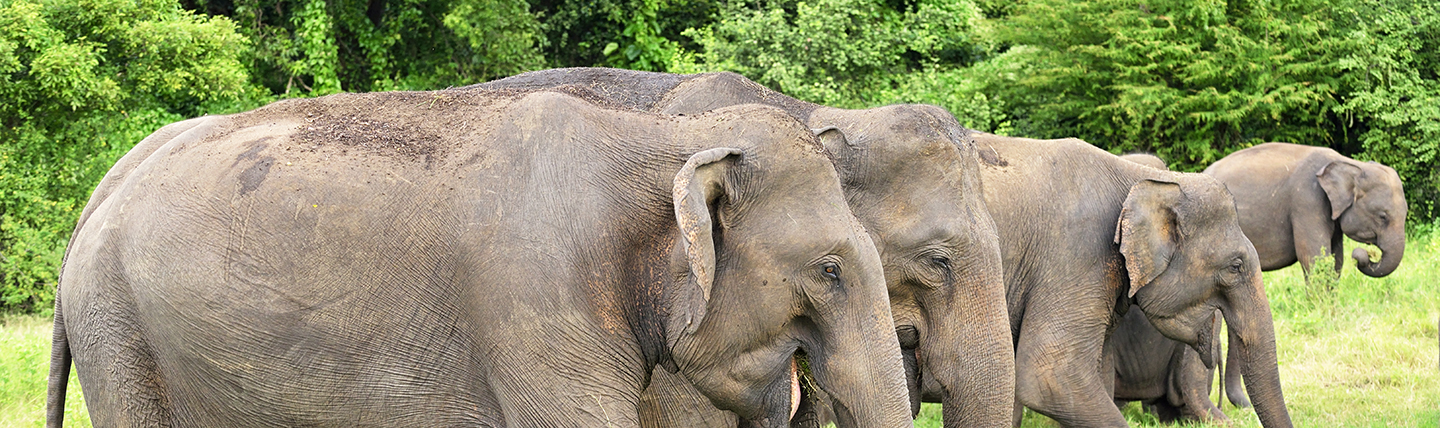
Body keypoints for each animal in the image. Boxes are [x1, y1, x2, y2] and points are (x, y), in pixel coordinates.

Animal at [1204, 142, 1407, 407]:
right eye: (1383, 216)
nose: (1363, 255)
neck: (1350, 164)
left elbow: (1335, 261)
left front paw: (1330, 309)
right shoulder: (1307, 202)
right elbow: (1314, 258)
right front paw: (1319, 310)